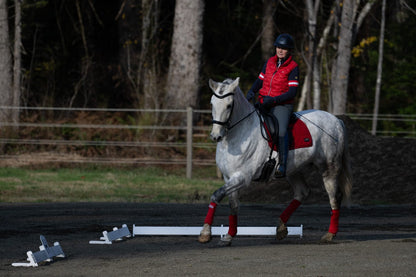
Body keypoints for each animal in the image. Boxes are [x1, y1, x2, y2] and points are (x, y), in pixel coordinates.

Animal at [198, 76, 352, 245]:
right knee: (302, 192)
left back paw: (330, 234)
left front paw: (205, 233)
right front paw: (228, 236)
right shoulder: (229, 177)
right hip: (293, 170)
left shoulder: (242, 177)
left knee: (334, 197)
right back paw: (281, 228)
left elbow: (216, 195)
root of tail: (337, 121)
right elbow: (233, 205)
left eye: (229, 105)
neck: (237, 135)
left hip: (329, 168)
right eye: (212, 103)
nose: (216, 136)